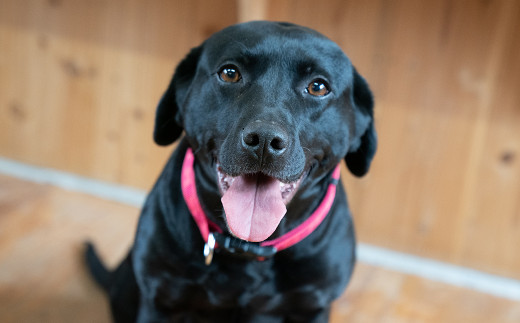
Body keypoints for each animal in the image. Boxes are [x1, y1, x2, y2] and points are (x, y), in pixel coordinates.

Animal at [87, 21, 376, 322]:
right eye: (229, 73)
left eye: (318, 87)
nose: (264, 139)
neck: (249, 247)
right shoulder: (160, 299)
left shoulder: (312, 305)